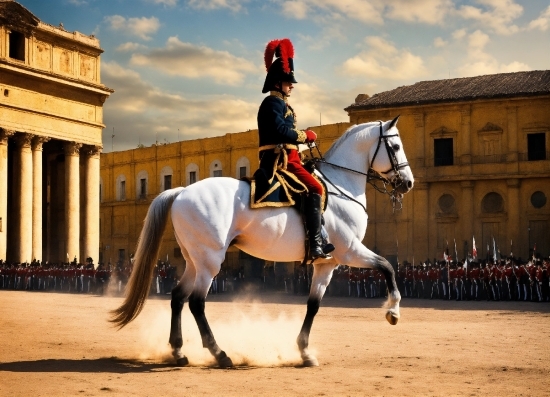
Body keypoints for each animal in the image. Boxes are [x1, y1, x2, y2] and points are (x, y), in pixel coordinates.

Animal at [112, 116, 414, 366]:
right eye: (396, 146)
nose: (408, 183)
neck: (340, 185)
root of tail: (182, 191)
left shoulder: (326, 264)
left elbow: (313, 305)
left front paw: (305, 351)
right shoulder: (350, 252)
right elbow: (388, 266)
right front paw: (393, 311)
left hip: (194, 260)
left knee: (177, 297)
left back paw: (178, 351)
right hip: (210, 260)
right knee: (197, 302)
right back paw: (220, 354)